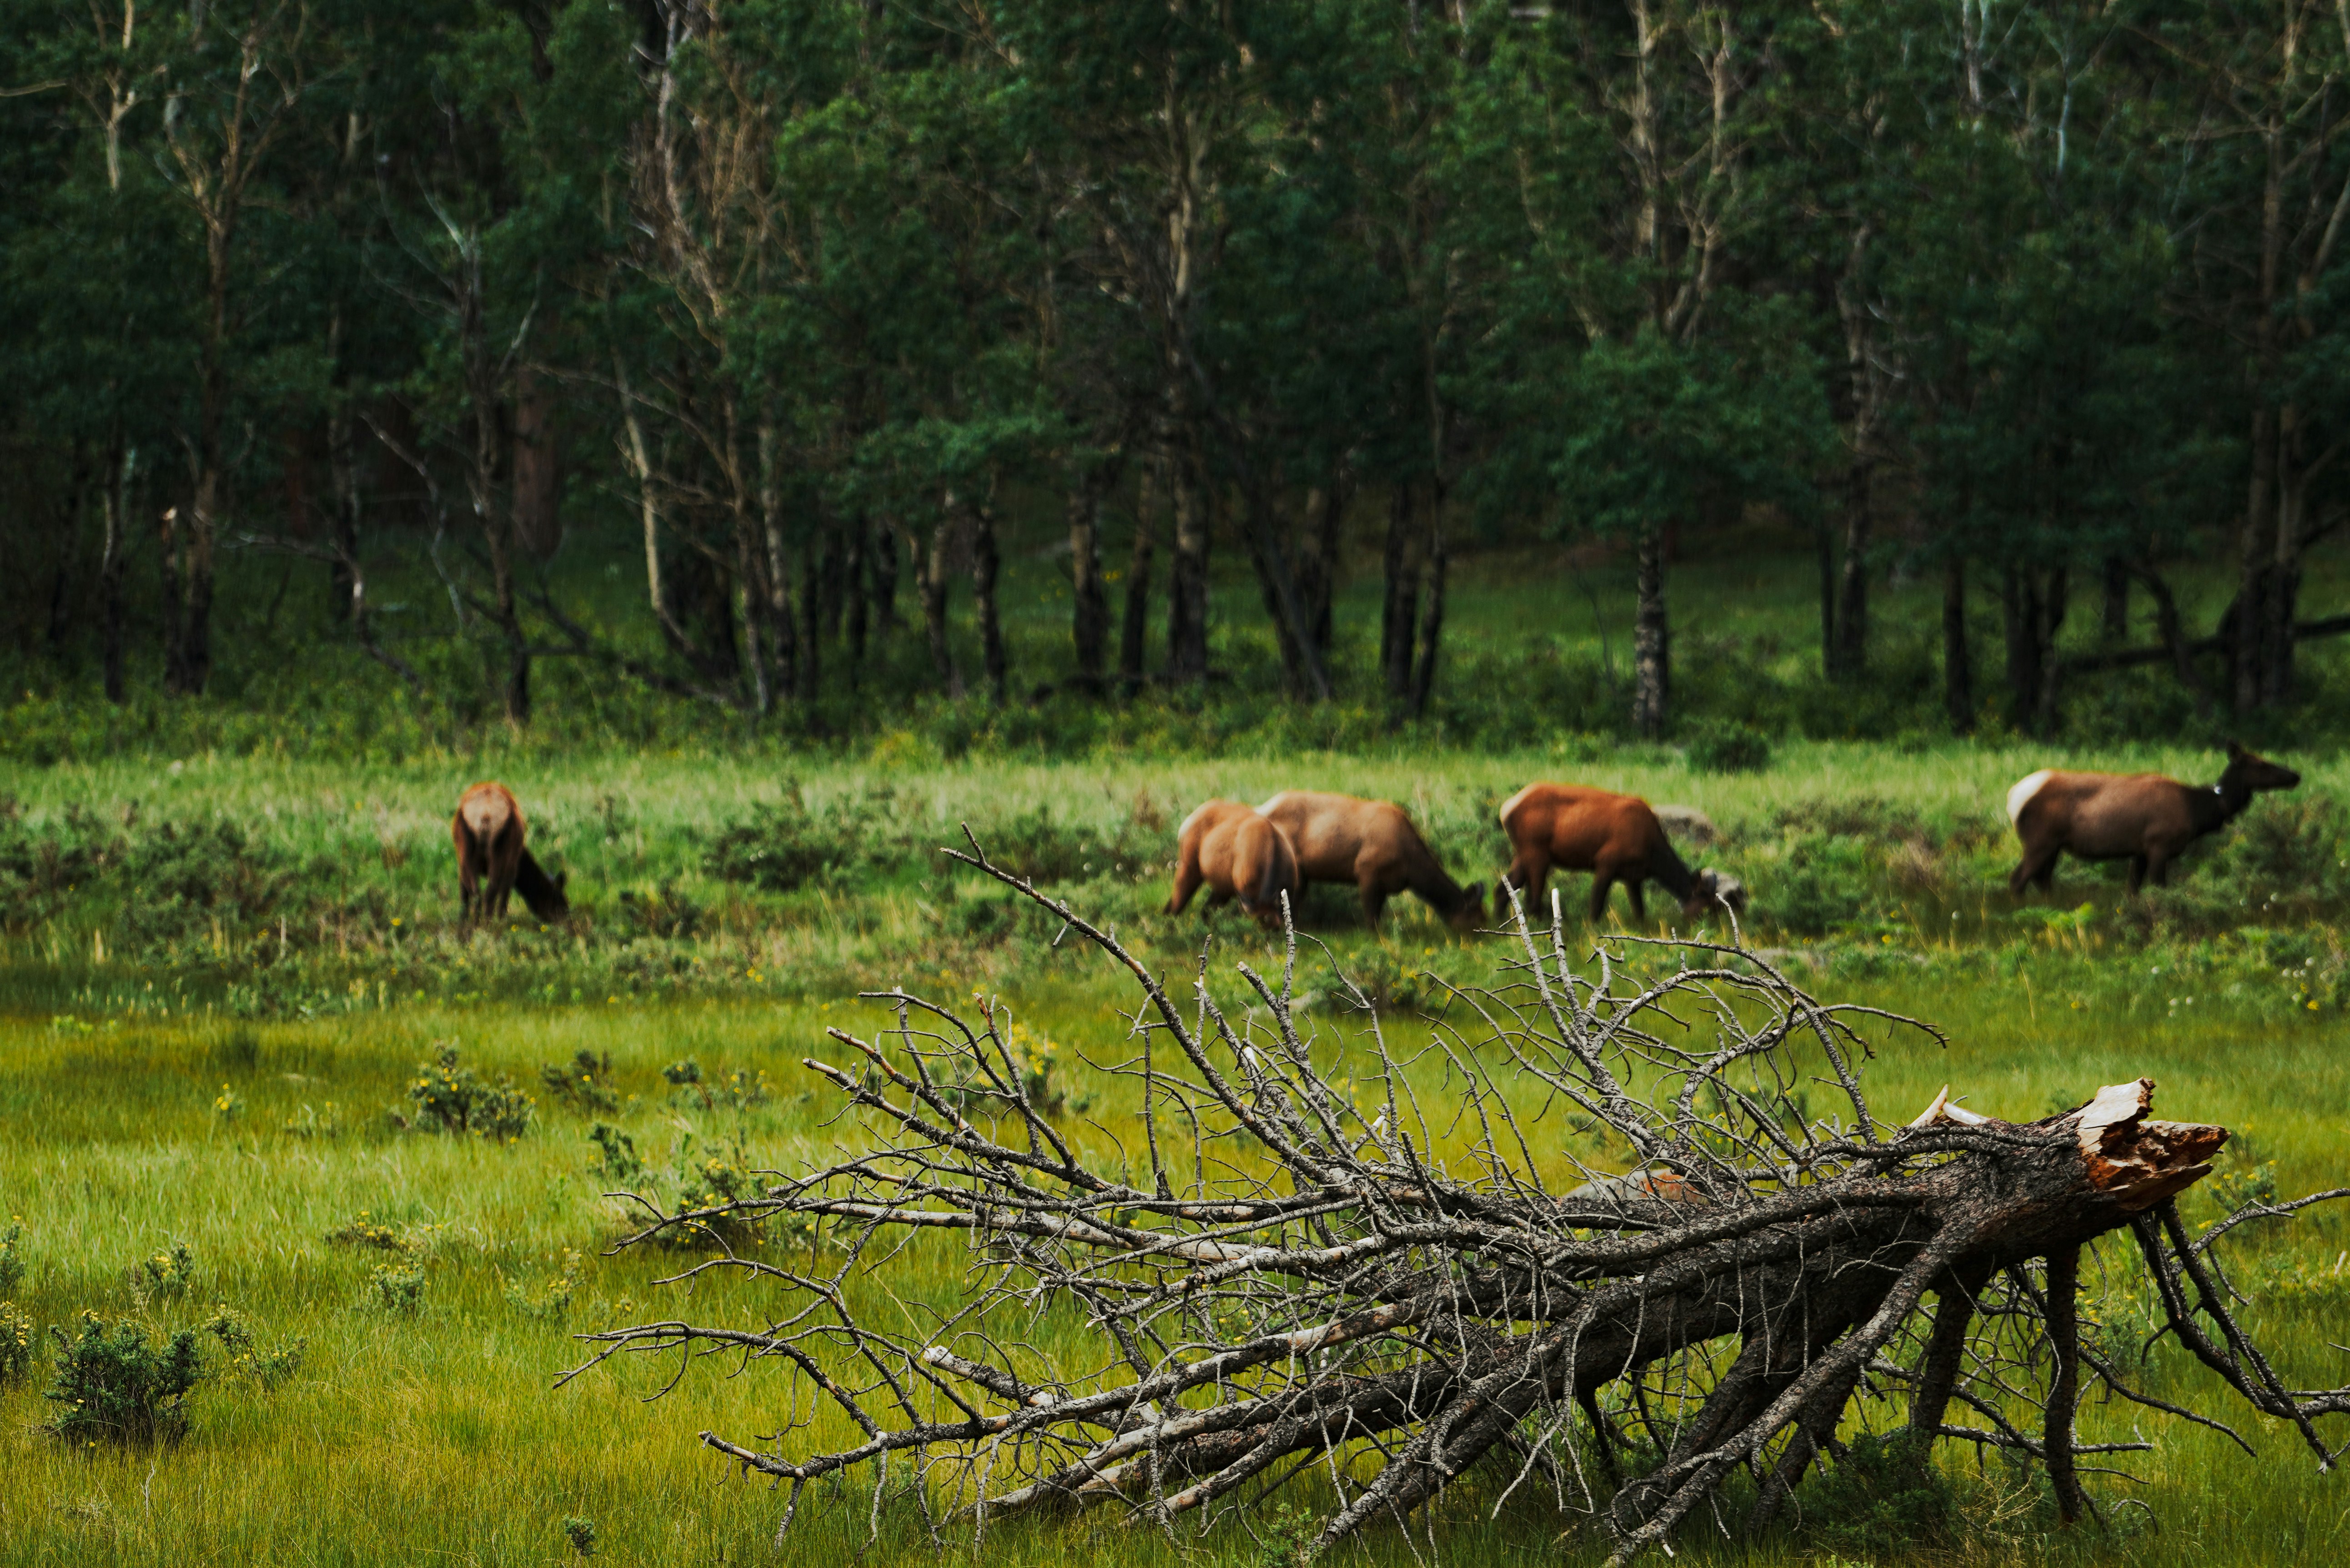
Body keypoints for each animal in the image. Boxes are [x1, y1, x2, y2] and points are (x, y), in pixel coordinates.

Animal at [453, 780, 573, 926]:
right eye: (559, 902)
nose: (569, 924)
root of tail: (486, 813)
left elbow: (464, 896)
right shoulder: (513, 866)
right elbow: (504, 897)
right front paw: (503, 921)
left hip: (465, 849)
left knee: (476, 894)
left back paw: (474, 926)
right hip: (501, 849)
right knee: (490, 893)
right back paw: (490, 926)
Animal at [1170, 804, 1306, 926]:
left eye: (1275, 929)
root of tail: (1192, 818)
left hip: (1222, 889)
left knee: (1205, 910)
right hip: (1189, 870)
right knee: (1175, 906)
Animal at [1260, 785, 1476, 931]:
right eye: (1477, 916)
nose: (1480, 937)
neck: (1410, 868)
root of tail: (1261, 809)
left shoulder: (1385, 883)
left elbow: (1378, 912)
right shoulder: (1367, 870)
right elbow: (1371, 915)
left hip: (1302, 873)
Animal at [1485, 780, 1748, 926]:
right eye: (1707, 906)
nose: (1717, 930)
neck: (1652, 855)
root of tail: (1506, 809)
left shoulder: (1634, 878)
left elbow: (1640, 912)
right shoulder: (1606, 862)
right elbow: (1596, 906)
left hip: (1523, 854)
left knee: (1501, 890)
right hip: (1537, 852)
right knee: (1533, 899)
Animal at [2002, 738, 2293, 893]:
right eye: (2261, 765)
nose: (2295, 775)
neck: (2197, 812)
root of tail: (2012, 797)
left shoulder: (2140, 850)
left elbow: (2133, 891)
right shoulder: (2158, 844)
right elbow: (2159, 888)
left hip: (2054, 846)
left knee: (2042, 880)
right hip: (2040, 840)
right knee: (2018, 880)